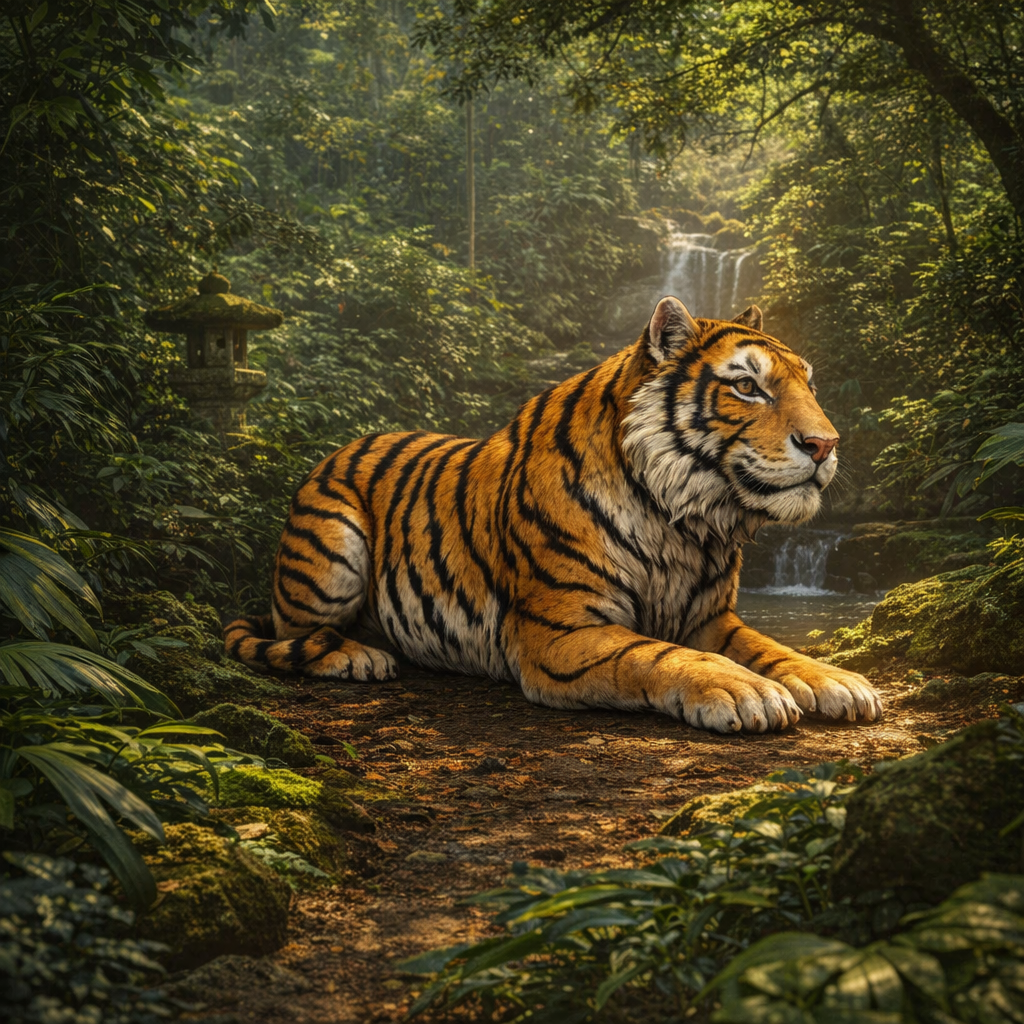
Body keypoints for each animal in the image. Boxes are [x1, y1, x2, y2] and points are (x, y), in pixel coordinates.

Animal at [225, 296, 882, 733]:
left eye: (809, 384)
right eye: (747, 387)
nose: (825, 444)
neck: (685, 523)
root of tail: (341, 447)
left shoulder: (710, 618)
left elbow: (774, 647)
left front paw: (836, 680)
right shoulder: (562, 632)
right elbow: (658, 655)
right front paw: (743, 689)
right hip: (332, 556)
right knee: (294, 635)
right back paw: (359, 656)